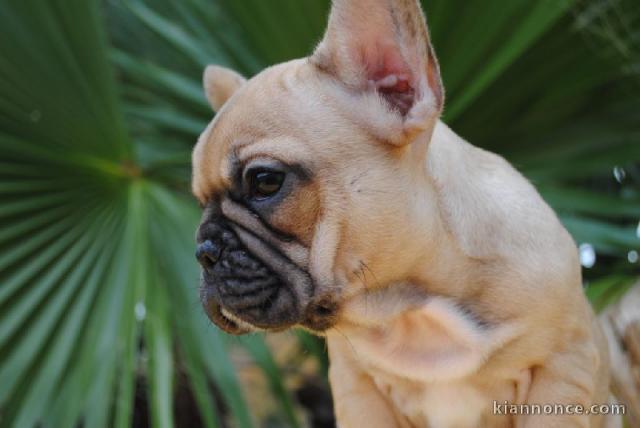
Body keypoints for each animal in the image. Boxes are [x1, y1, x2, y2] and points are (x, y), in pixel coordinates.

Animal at [192, 1, 616, 426]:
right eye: (199, 200)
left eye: (265, 181)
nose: (204, 252)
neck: (412, 309)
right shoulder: (357, 387)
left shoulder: (562, 367)